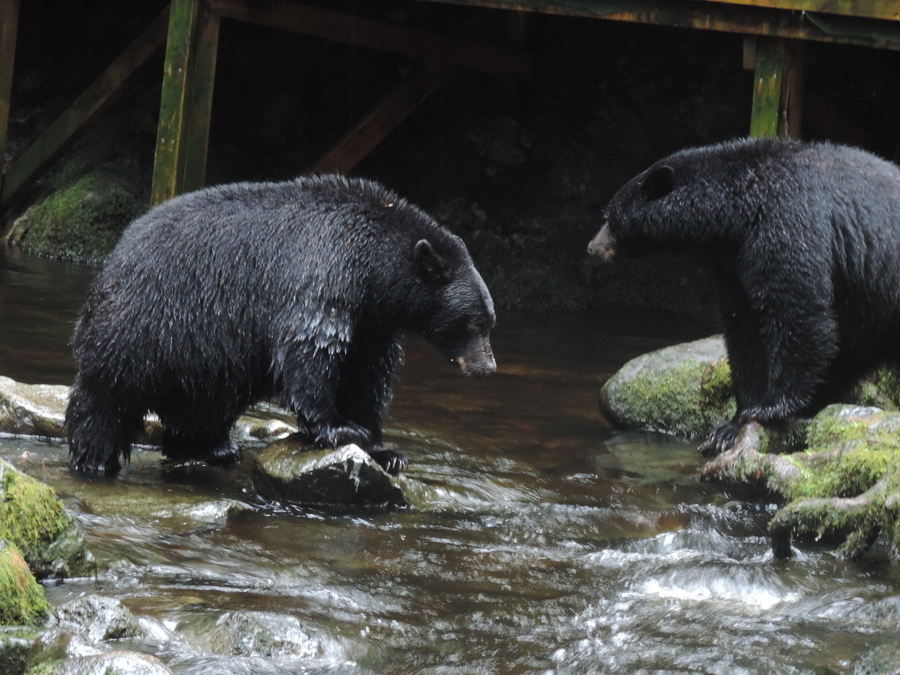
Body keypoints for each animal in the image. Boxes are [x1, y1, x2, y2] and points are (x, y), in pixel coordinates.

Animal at [67, 177, 496, 478]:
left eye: (491, 321)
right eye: (474, 322)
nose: (487, 367)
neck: (374, 266)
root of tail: (114, 256)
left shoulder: (374, 323)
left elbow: (369, 375)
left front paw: (385, 450)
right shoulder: (326, 272)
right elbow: (312, 350)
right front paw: (339, 429)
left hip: (205, 356)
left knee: (207, 401)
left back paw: (211, 448)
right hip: (143, 327)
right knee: (104, 400)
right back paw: (94, 459)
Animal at [588, 136, 900, 454]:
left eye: (611, 218)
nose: (591, 248)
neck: (740, 206)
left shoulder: (786, 220)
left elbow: (796, 309)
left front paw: (770, 407)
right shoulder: (734, 259)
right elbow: (744, 326)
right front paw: (730, 425)